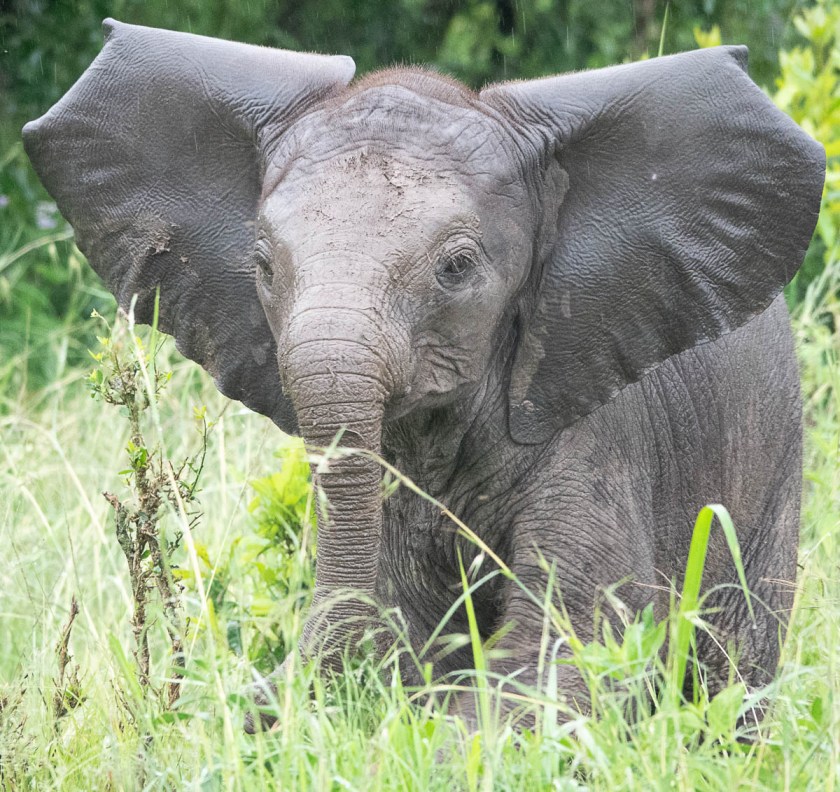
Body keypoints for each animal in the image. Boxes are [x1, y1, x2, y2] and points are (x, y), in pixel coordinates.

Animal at [24, 20, 824, 730]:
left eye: (458, 267)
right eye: (263, 267)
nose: (263, 699)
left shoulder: (597, 427)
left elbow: (564, 650)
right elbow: (407, 635)